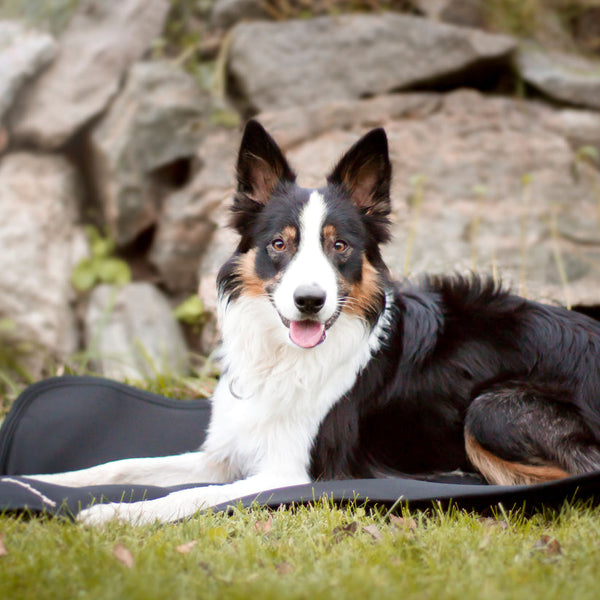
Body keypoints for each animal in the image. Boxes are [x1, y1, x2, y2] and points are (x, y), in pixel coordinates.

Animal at [29, 119, 600, 524]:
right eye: (280, 244)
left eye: (339, 246)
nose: (309, 301)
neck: (284, 359)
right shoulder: (226, 453)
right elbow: (122, 466)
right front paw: (48, 481)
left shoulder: (291, 472)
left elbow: (193, 497)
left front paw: (117, 512)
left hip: (490, 408)